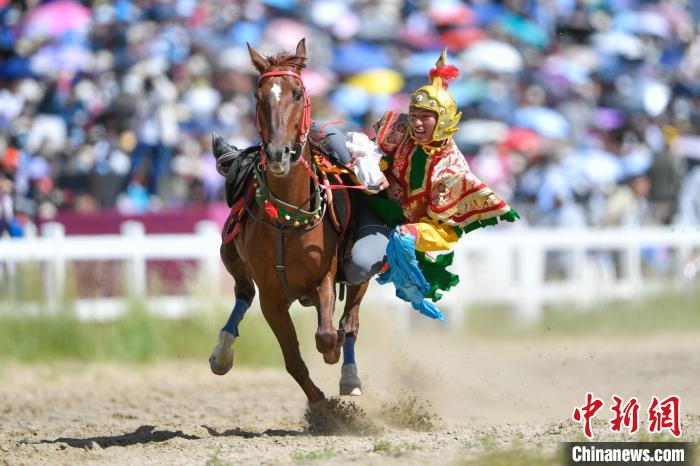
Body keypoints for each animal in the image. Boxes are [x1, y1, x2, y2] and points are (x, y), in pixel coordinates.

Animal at [208, 39, 367, 402]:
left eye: (298, 94)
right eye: (259, 96)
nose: (278, 153)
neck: (287, 217)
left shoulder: (324, 276)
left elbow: (327, 334)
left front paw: (334, 354)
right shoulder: (272, 297)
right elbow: (293, 359)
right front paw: (320, 404)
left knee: (351, 319)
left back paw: (350, 375)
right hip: (230, 255)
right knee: (242, 292)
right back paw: (222, 351)